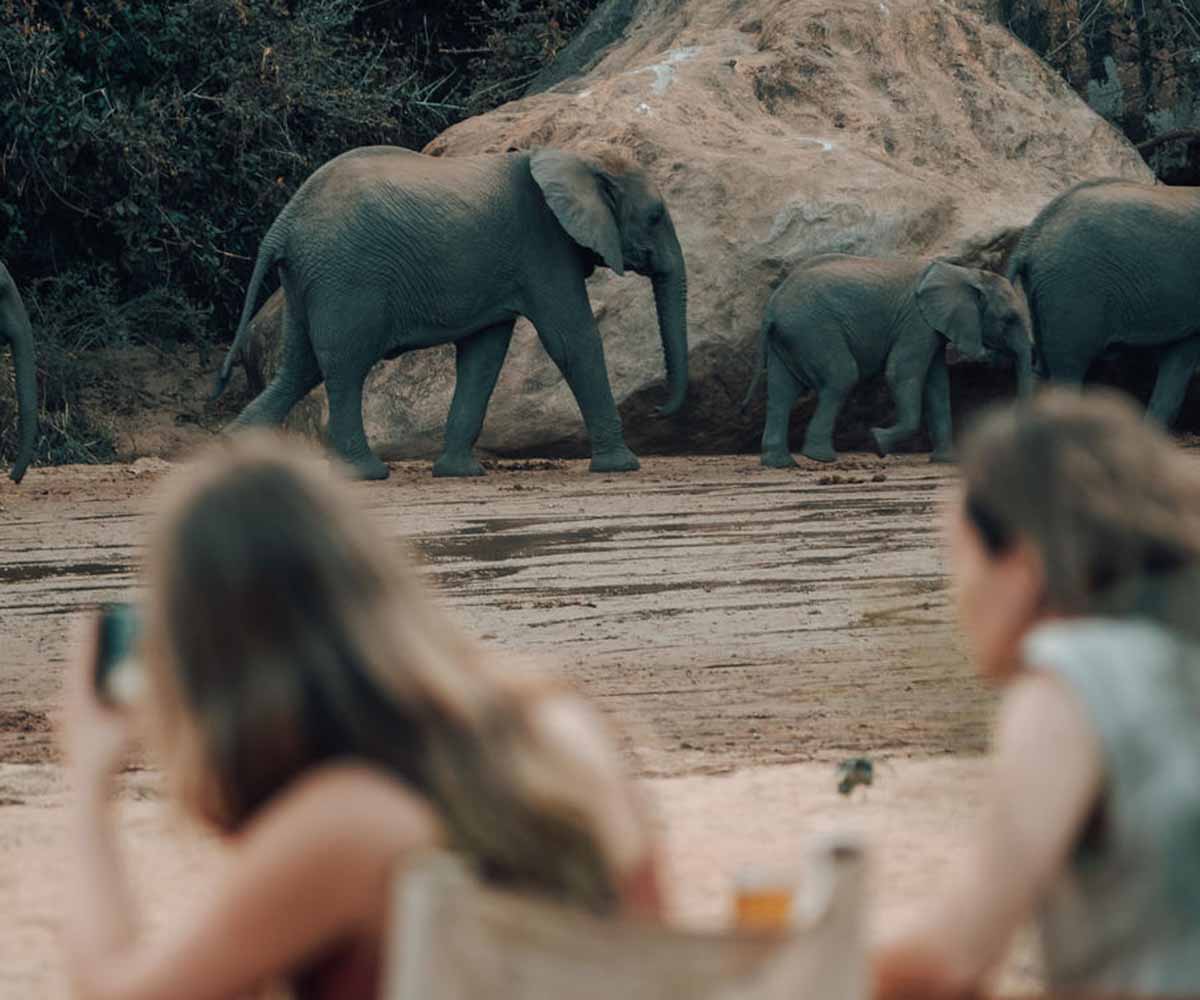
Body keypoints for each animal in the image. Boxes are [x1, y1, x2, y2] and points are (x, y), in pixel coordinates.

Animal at [211, 143, 691, 480]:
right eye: (654, 217)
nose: (657, 410)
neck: (582, 157)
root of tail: (284, 221)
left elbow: (484, 355)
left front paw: (459, 472)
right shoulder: (543, 248)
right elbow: (573, 341)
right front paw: (623, 466)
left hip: (308, 280)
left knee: (299, 366)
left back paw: (232, 456)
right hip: (345, 276)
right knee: (345, 366)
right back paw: (366, 474)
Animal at [739, 253, 1032, 463]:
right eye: (1009, 320)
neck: (965, 273)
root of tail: (772, 307)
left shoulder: (932, 327)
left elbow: (937, 386)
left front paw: (946, 461)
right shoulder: (916, 322)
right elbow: (901, 373)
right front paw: (877, 442)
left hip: (790, 336)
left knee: (781, 392)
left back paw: (780, 463)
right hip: (811, 329)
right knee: (841, 376)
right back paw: (821, 458)